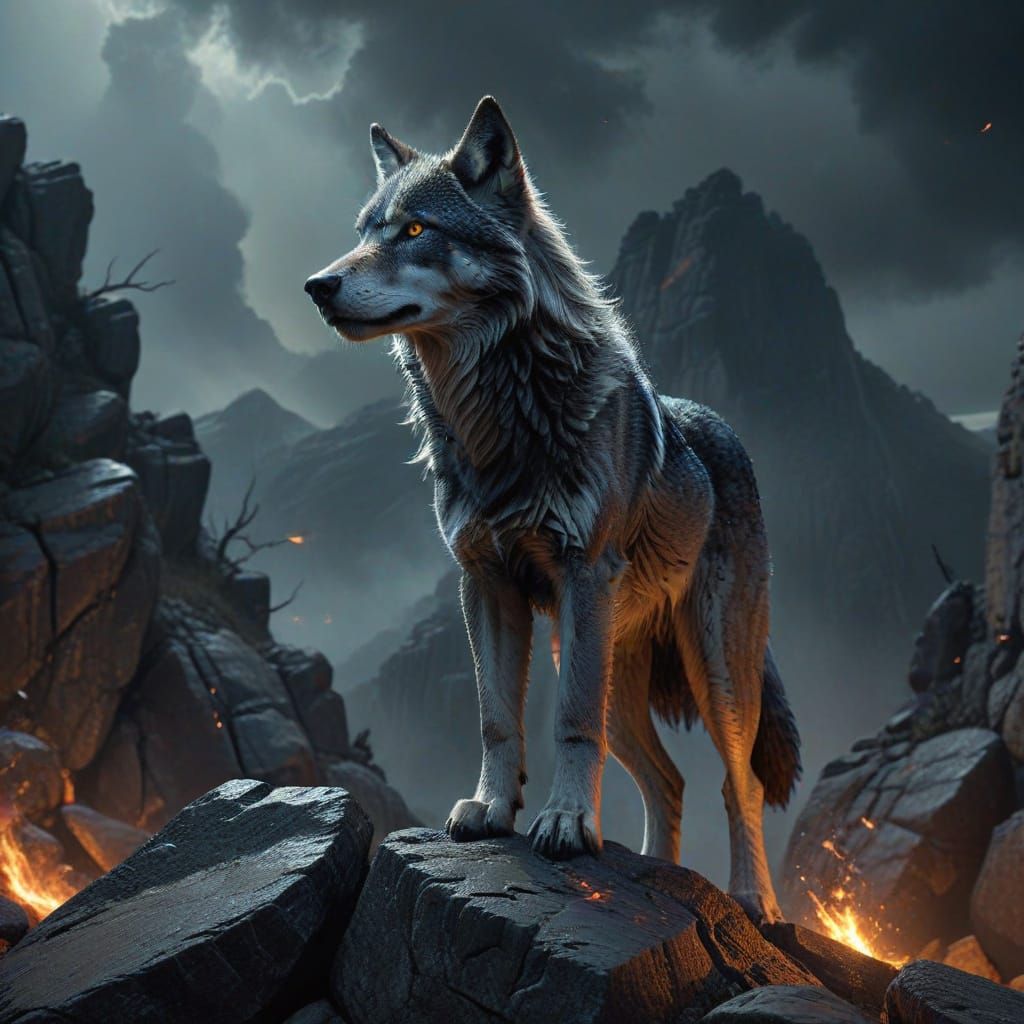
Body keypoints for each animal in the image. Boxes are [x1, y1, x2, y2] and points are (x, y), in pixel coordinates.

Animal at [305, 96, 800, 922]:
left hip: (715, 672)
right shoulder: (485, 582)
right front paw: (490, 810)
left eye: (416, 230)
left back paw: (751, 899)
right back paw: (661, 873)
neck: (498, 419)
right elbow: (497, 718)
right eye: (365, 230)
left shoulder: (581, 576)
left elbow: (568, 725)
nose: (318, 285)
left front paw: (567, 823)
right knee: (669, 781)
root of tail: (725, 430)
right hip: (606, 667)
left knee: (742, 783)